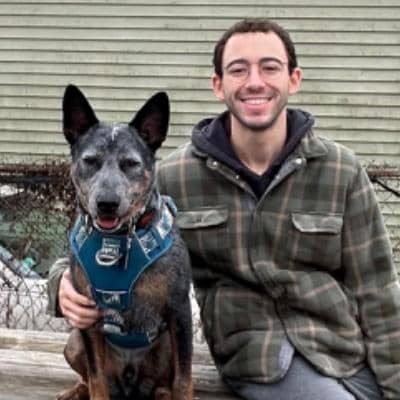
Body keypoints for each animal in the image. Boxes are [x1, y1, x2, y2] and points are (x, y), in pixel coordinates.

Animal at [57, 84, 193, 400]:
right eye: (90, 161)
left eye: (131, 164)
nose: (107, 203)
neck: (117, 240)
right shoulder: (87, 318)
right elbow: (96, 377)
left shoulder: (180, 311)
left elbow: (183, 379)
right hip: (74, 341)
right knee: (88, 377)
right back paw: (75, 390)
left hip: (166, 343)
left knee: (165, 381)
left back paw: (161, 392)